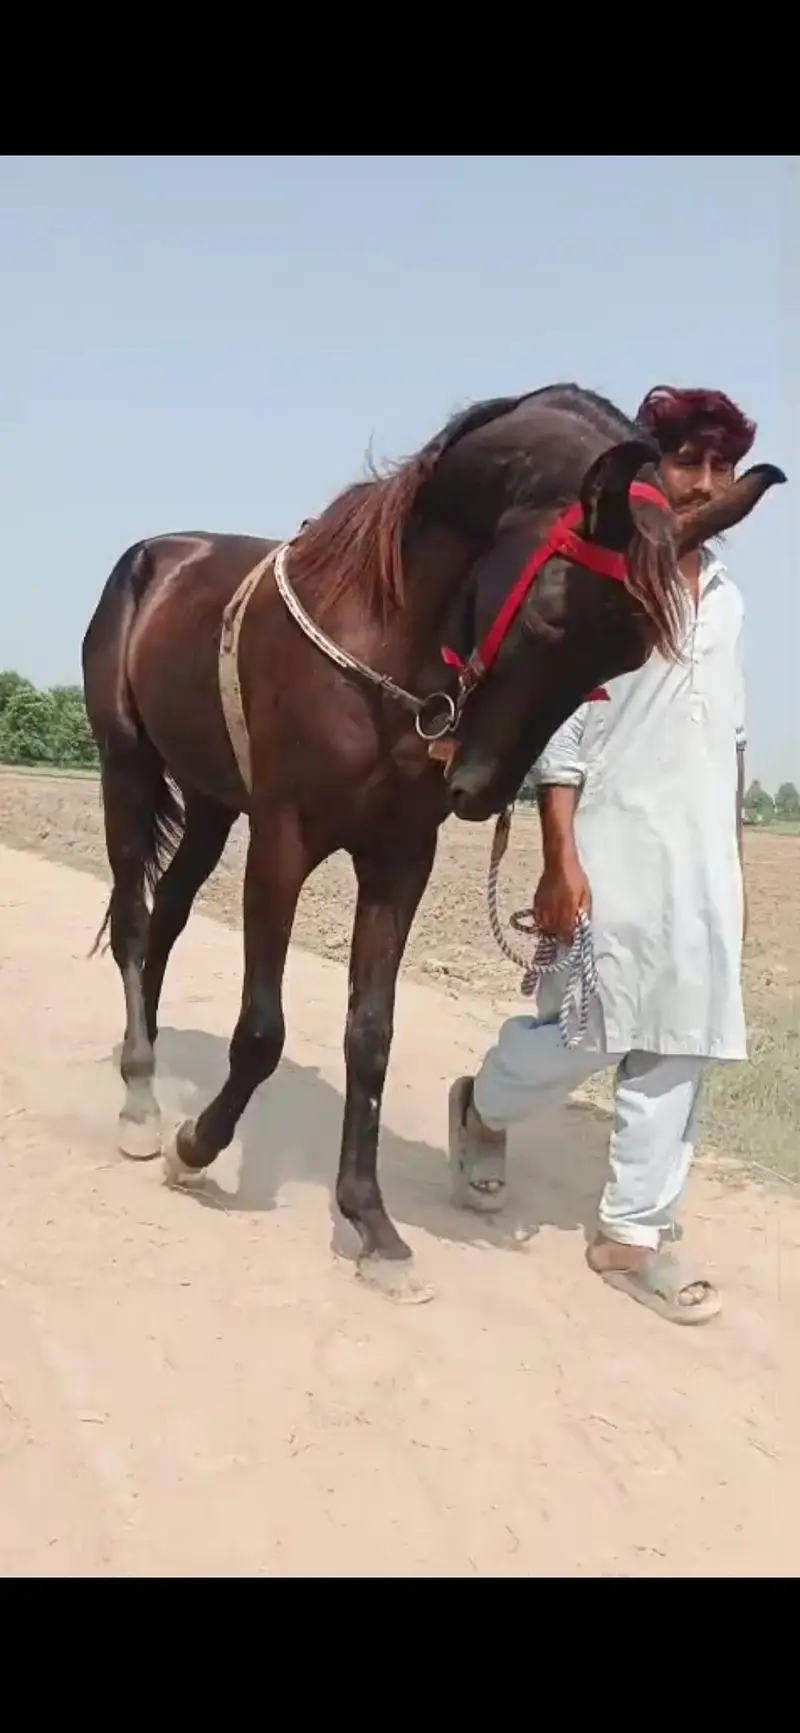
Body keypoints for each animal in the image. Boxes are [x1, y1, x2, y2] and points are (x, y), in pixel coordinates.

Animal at [81, 383, 784, 1302]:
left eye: (623, 659)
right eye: (552, 613)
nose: (478, 789)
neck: (378, 634)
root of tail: (156, 555)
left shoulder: (398, 857)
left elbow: (371, 1035)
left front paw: (372, 1225)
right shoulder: (283, 839)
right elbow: (264, 1028)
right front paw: (197, 1146)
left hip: (207, 800)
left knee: (165, 916)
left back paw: (151, 1061)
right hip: (128, 766)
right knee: (134, 918)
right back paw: (138, 1097)